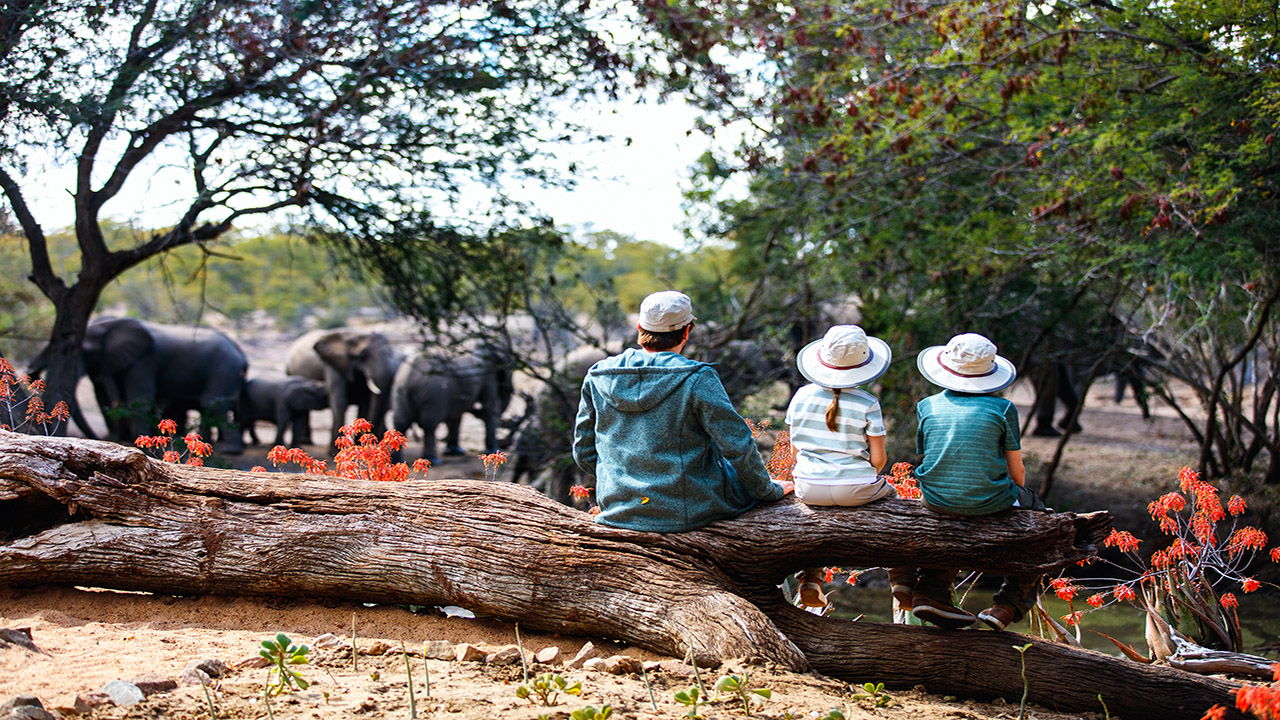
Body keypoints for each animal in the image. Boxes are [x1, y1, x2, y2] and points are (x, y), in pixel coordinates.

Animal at [26, 315, 247, 448]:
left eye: (83, 350)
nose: (31, 370)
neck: (107, 326)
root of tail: (240, 353)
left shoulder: (143, 360)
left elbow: (138, 399)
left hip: (223, 370)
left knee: (212, 404)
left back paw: (229, 450)